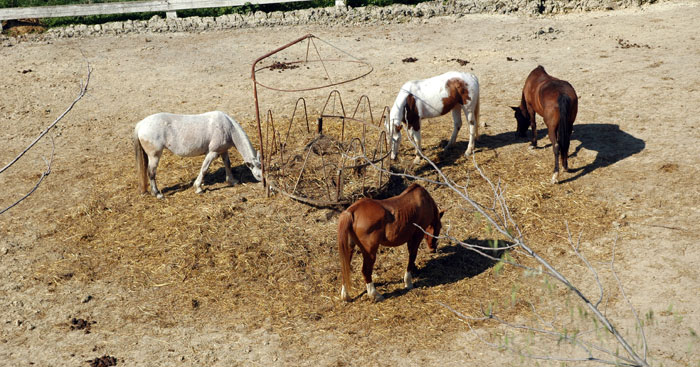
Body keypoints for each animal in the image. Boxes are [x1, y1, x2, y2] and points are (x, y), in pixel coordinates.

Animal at [133, 111, 262, 200]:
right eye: (259, 175)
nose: (264, 184)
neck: (228, 127)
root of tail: (141, 125)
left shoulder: (223, 150)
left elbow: (227, 164)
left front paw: (232, 181)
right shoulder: (212, 152)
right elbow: (204, 168)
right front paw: (198, 188)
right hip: (154, 156)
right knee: (151, 173)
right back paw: (158, 194)